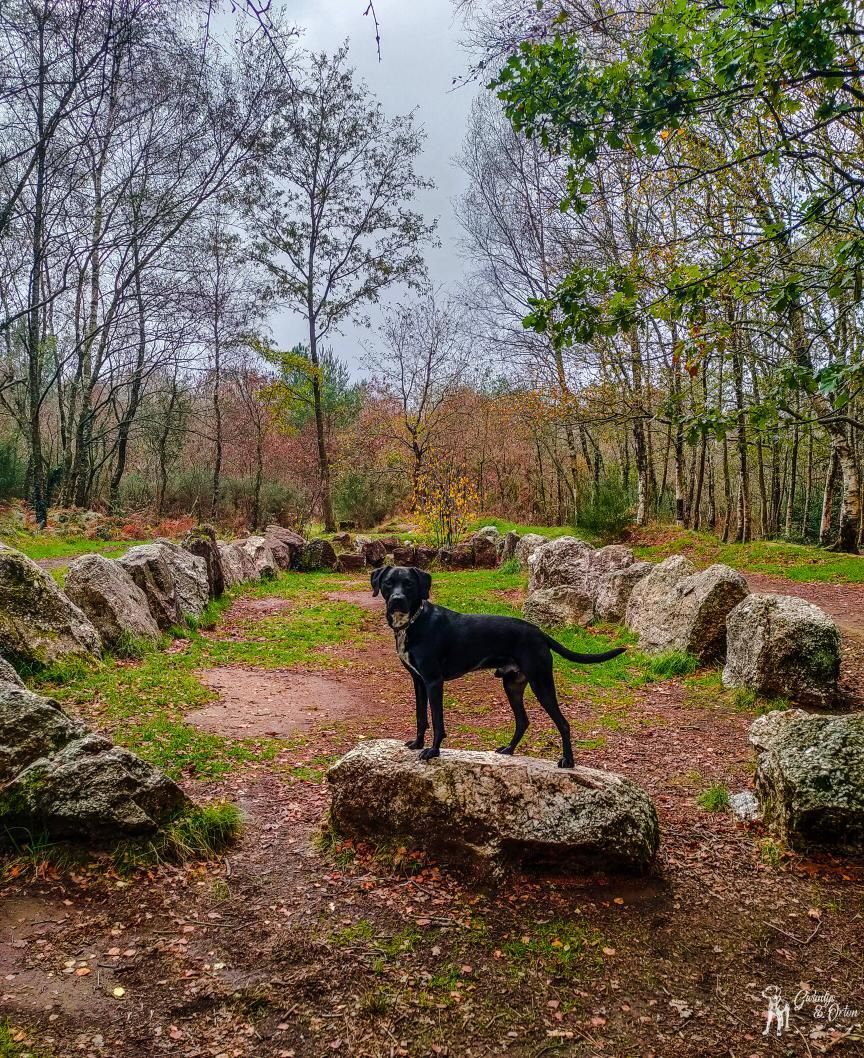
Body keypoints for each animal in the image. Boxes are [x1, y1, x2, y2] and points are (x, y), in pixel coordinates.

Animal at [370, 567, 626, 765]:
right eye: (388, 583)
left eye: (409, 584)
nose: (397, 600)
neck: (414, 622)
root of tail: (538, 632)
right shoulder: (418, 681)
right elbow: (421, 717)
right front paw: (417, 743)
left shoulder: (434, 681)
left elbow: (437, 720)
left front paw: (433, 751)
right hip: (512, 685)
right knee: (523, 721)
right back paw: (509, 750)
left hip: (541, 683)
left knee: (563, 723)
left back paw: (568, 761)